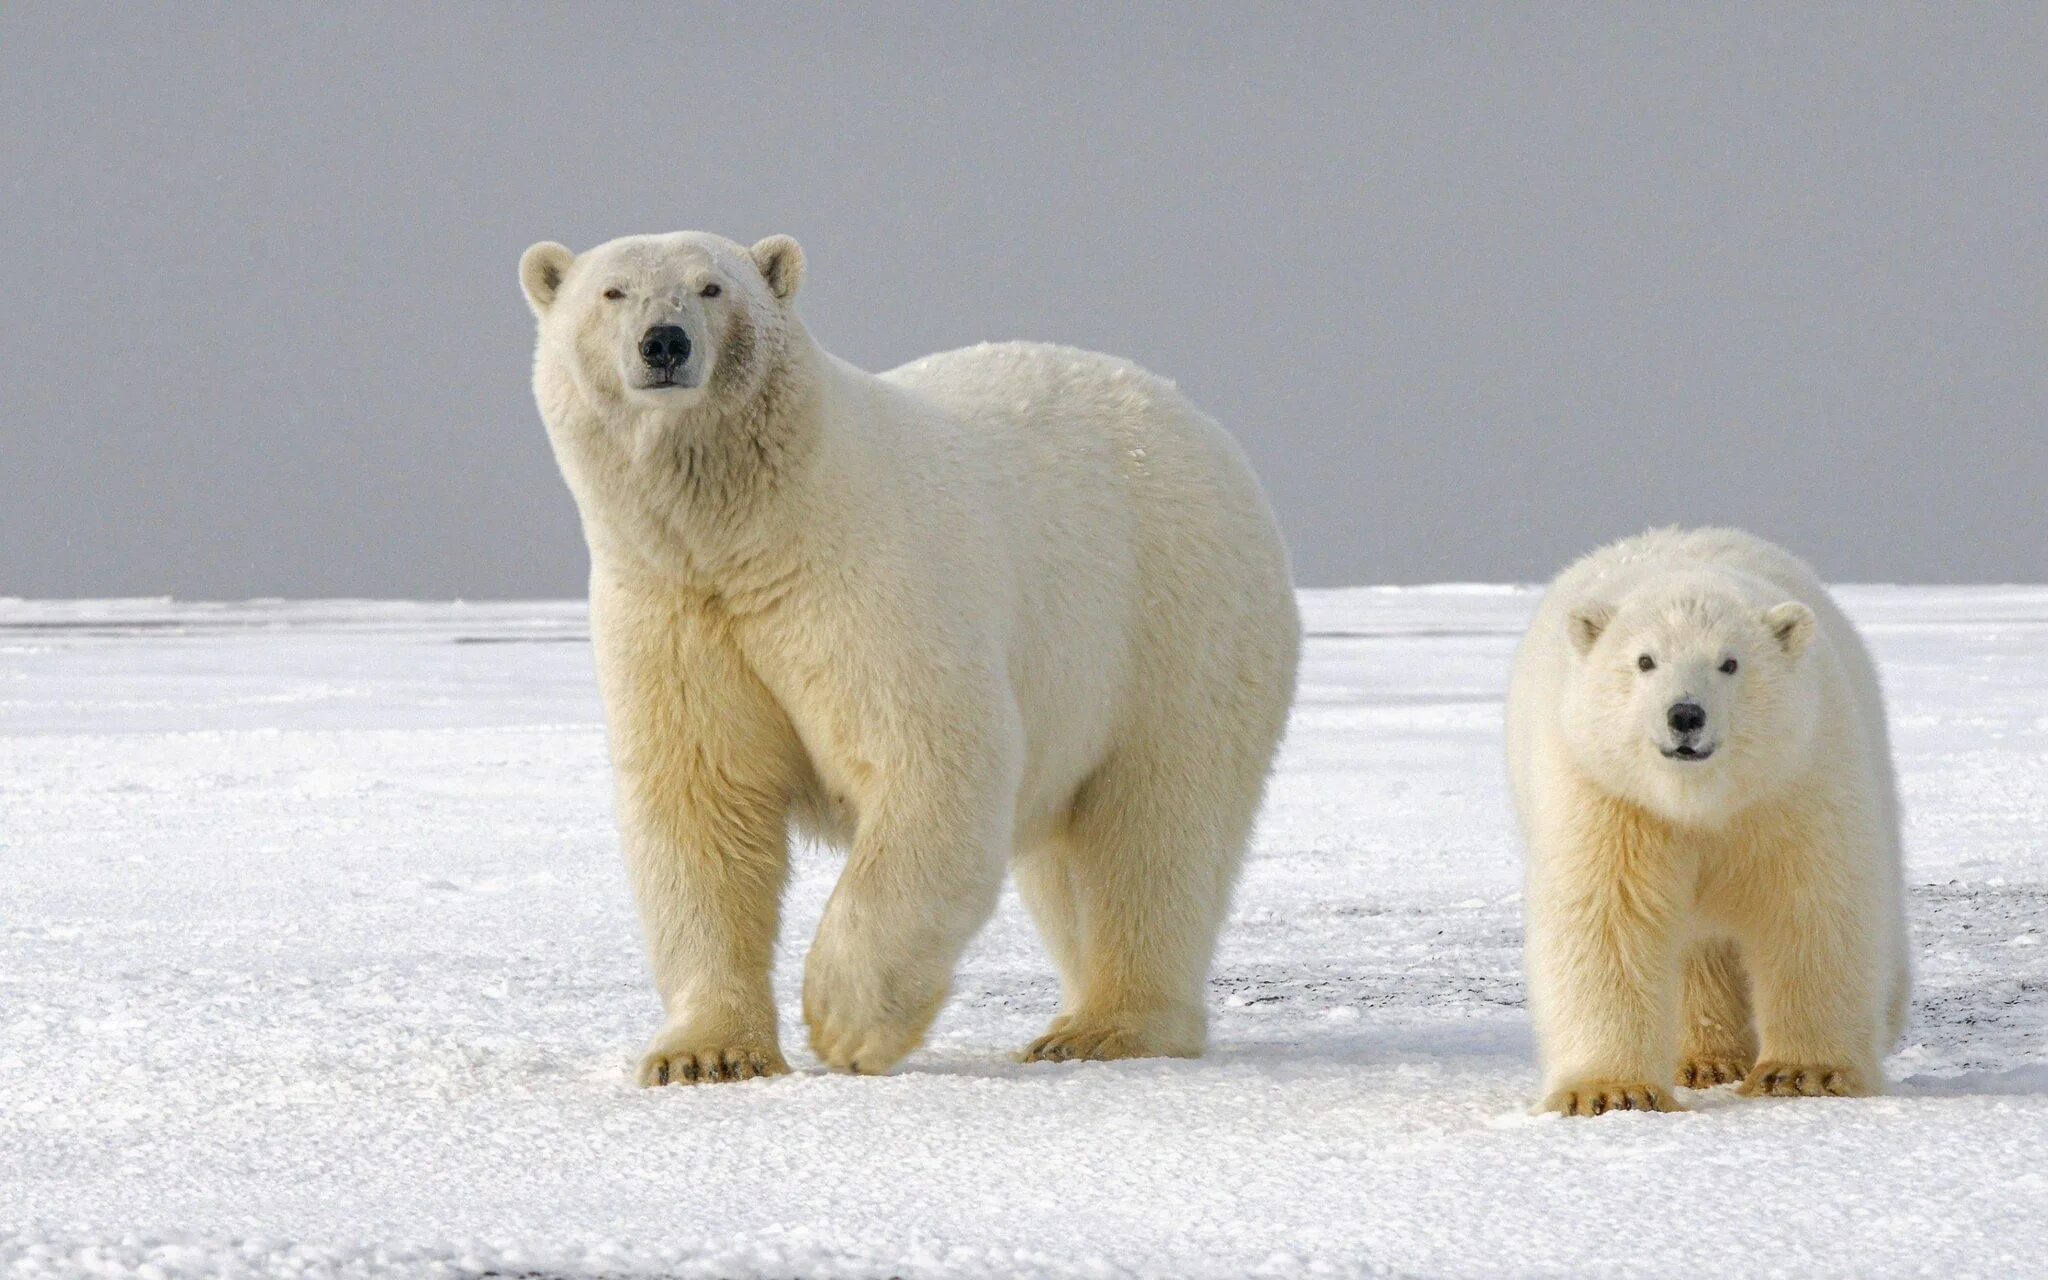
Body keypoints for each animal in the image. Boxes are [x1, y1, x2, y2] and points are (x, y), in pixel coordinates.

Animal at [524, 227, 1294, 1081]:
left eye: (711, 287)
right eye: (613, 292)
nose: (665, 342)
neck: (750, 531)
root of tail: (1200, 422)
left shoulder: (863, 578)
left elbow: (932, 757)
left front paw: (844, 1021)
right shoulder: (672, 609)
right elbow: (702, 802)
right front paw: (705, 1055)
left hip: (1174, 620)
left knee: (1154, 827)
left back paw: (1107, 1027)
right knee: (1070, 861)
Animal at [1507, 524, 1900, 1114]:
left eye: (1729, 662)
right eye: (1645, 660)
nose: (1685, 714)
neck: (1700, 800)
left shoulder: (1795, 781)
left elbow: (1812, 905)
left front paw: (1801, 1073)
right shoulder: (1608, 796)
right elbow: (1608, 918)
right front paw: (1611, 1091)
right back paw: (1704, 1060)